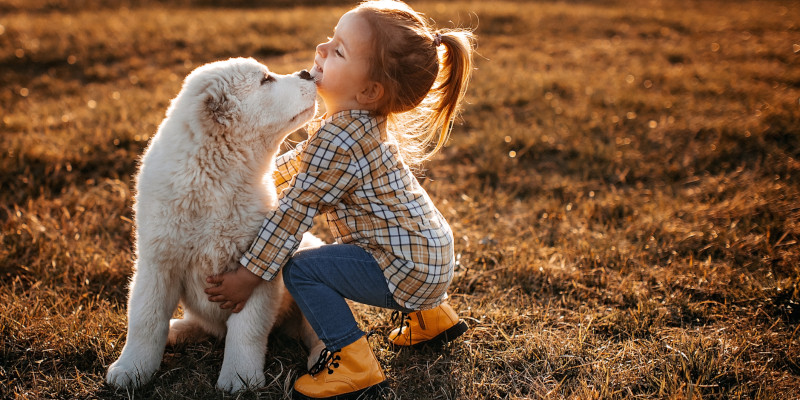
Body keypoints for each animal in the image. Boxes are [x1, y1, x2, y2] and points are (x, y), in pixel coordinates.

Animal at [106, 57, 324, 392]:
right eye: (265, 80)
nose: (306, 72)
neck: (216, 178)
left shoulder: (251, 272)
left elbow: (247, 330)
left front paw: (240, 378)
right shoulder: (157, 262)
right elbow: (145, 319)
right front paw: (131, 370)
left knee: (314, 330)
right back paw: (177, 330)